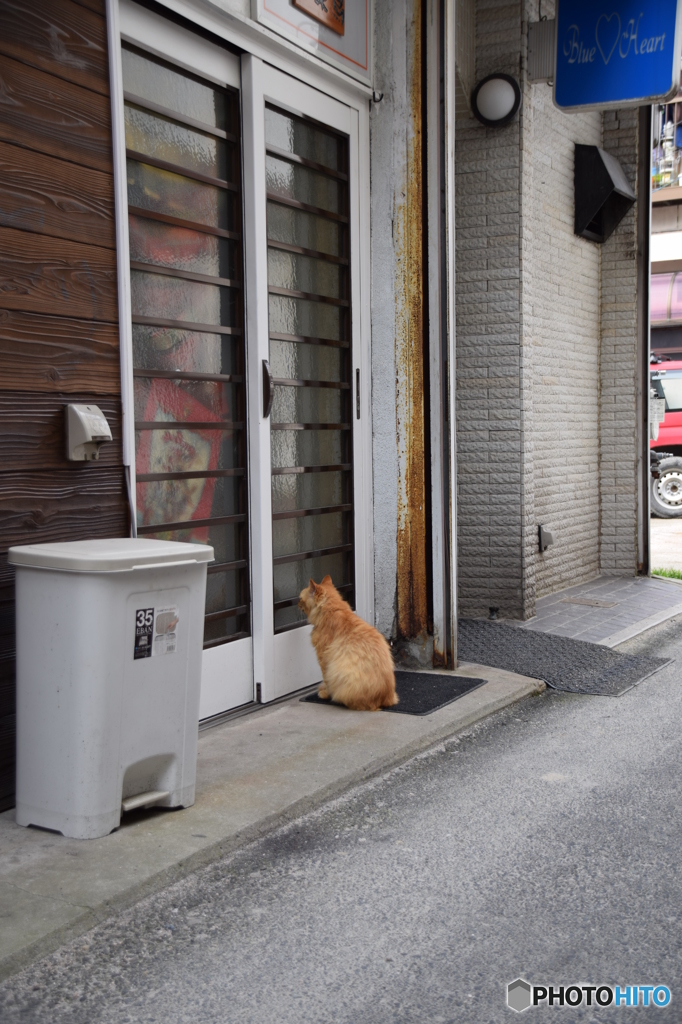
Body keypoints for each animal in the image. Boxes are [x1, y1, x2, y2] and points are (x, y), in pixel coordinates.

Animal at [294, 577, 395, 712]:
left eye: (300, 598)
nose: (297, 603)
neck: (332, 610)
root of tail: (385, 698)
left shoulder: (324, 658)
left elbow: (326, 679)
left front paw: (325, 693)